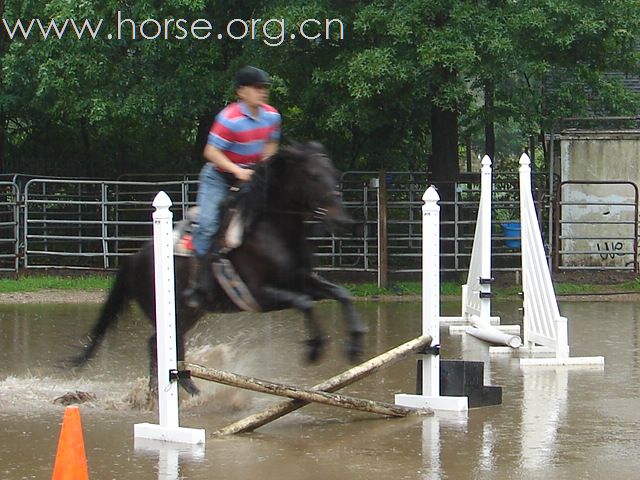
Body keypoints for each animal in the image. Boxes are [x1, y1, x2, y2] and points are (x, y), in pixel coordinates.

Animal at [71, 141, 364, 396]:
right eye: (314, 176)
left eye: (334, 174)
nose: (343, 221)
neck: (272, 230)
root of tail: (135, 258)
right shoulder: (259, 295)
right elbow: (304, 303)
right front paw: (315, 348)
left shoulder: (300, 280)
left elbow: (341, 294)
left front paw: (354, 344)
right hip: (172, 312)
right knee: (159, 345)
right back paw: (164, 393)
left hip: (188, 314)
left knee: (167, 345)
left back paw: (187, 389)